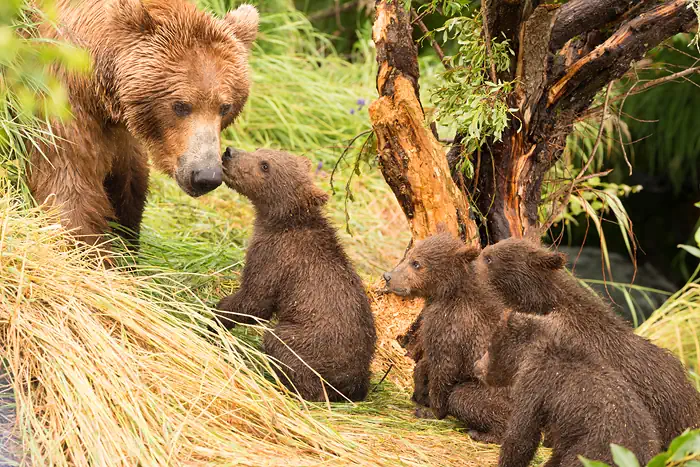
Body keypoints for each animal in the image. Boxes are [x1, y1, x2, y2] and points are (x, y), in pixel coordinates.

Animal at [30, 0, 258, 250]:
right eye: (180, 105)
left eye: (225, 107)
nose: (206, 175)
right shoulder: (62, 107)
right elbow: (70, 190)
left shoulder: (122, 137)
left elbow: (130, 187)